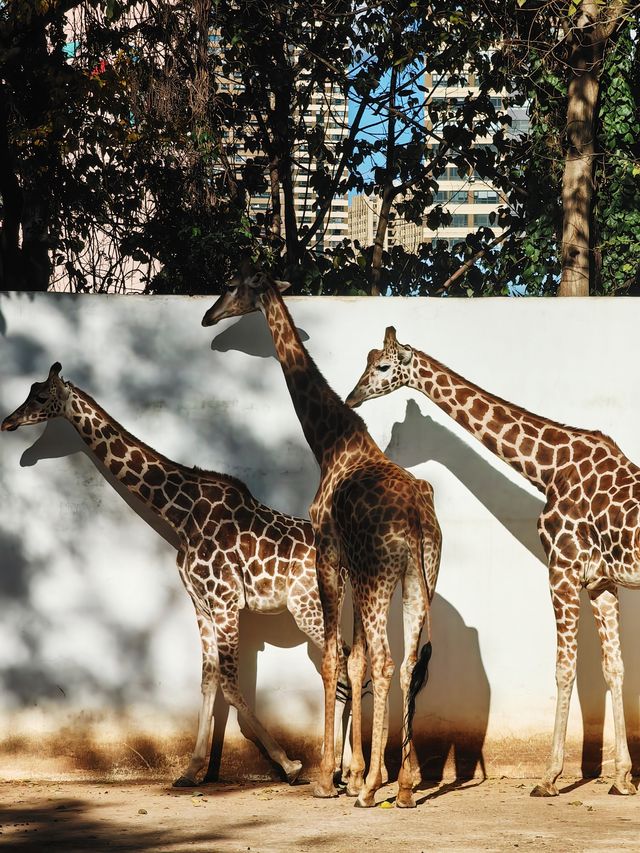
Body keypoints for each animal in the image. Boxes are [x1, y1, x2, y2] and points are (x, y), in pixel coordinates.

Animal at [1, 362, 350, 788]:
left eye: (39, 396)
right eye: (29, 391)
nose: (8, 422)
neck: (180, 515)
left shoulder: (225, 601)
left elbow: (231, 685)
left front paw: (289, 764)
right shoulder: (200, 603)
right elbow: (208, 681)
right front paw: (190, 770)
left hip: (308, 607)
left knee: (341, 665)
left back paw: (337, 770)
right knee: (351, 662)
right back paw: (347, 769)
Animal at [202, 264, 442, 804]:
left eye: (233, 285)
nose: (208, 315)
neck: (330, 443)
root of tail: (418, 518)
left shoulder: (328, 553)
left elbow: (336, 658)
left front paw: (328, 777)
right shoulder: (350, 565)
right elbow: (354, 662)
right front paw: (355, 771)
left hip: (380, 577)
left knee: (386, 660)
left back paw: (373, 789)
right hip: (421, 578)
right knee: (407, 662)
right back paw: (403, 787)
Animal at [344, 326, 640, 800]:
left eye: (383, 366)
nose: (352, 397)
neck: (548, 468)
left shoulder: (562, 569)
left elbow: (564, 669)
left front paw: (549, 777)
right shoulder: (600, 581)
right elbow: (615, 669)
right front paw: (622, 778)